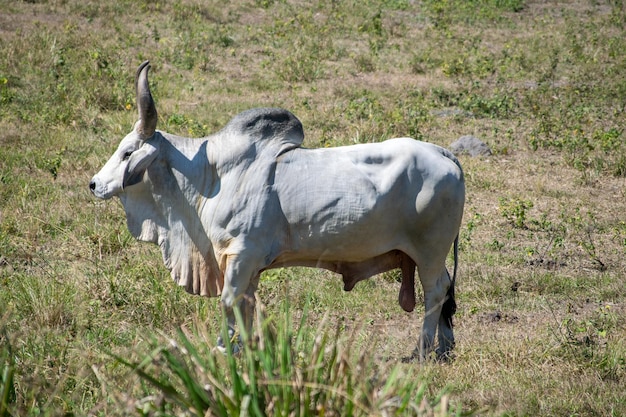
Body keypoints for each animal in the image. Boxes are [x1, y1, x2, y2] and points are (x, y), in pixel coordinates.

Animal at [91, 61, 464, 358]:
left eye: (127, 152)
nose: (94, 184)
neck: (210, 176)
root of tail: (444, 153)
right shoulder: (246, 264)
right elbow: (246, 305)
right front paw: (244, 349)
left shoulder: (241, 254)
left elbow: (228, 302)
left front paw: (224, 351)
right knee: (445, 290)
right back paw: (444, 348)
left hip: (429, 251)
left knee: (434, 292)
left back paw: (423, 351)